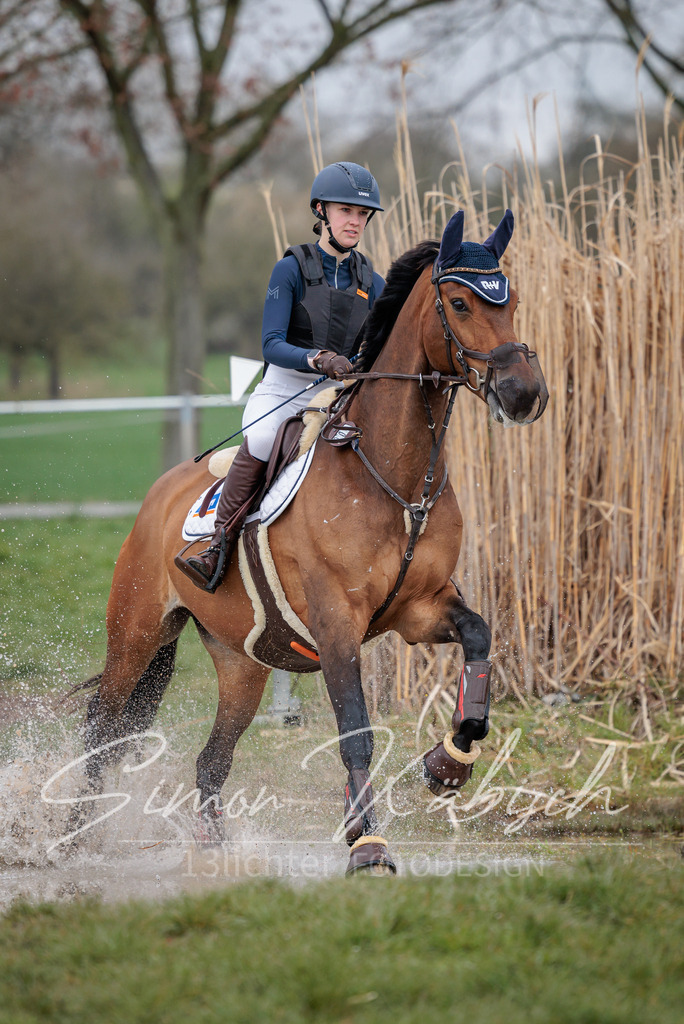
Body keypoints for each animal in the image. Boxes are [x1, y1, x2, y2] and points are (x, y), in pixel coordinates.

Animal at [72, 209, 547, 875]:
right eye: (459, 302)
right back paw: (72, 839)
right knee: (102, 729)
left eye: (514, 303)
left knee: (211, 760)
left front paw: (446, 765)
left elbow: (479, 641)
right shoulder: (336, 622)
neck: (393, 474)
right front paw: (367, 844)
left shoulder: (419, 608)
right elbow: (356, 730)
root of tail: (156, 496)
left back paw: (214, 857)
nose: (524, 393)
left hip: (240, 663)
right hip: (136, 635)